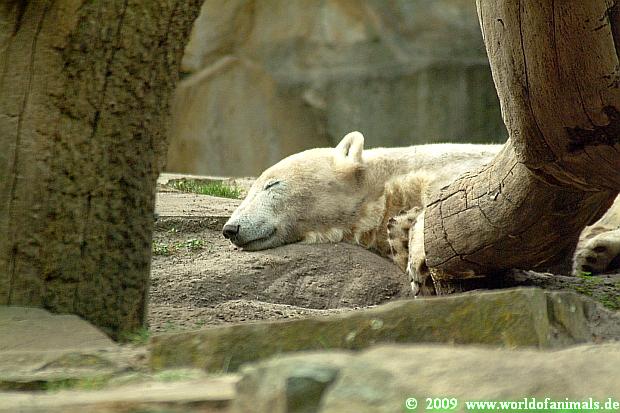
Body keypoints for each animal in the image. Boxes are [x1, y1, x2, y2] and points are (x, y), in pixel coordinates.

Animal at [223, 131, 620, 294]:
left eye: (272, 185)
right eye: (252, 188)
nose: (231, 228)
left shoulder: (470, 171)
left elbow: (445, 205)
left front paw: (420, 266)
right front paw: (399, 236)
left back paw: (596, 251)